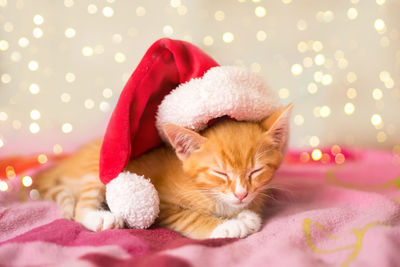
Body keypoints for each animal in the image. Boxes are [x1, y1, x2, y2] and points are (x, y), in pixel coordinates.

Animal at [33, 104, 290, 239]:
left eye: (256, 171)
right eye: (220, 173)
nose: (241, 194)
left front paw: (246, 215)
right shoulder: (163, 205)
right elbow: (190, 216)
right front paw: (227, 225)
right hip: (102, 168)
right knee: (80, 206)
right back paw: (101, 217)